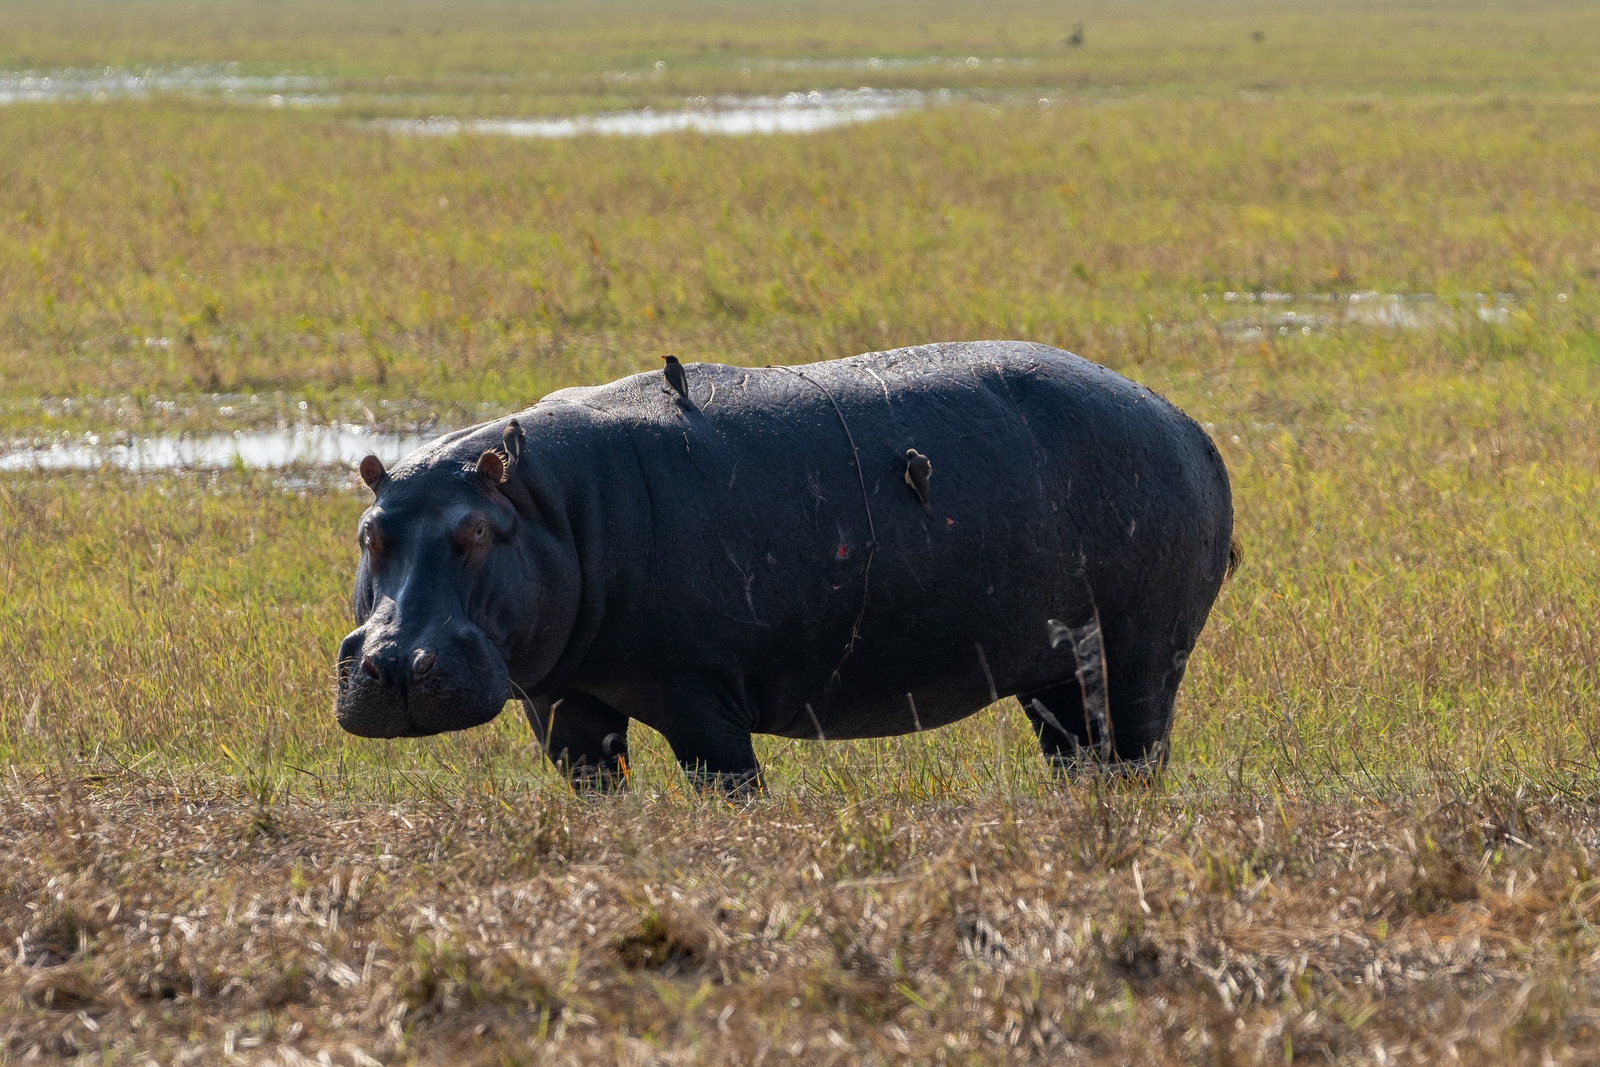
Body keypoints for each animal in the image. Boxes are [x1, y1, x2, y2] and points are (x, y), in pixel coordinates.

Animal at [334, 341, 1234, 790]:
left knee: (1139, 751)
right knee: (1078, 753)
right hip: (1053, 667)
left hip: (1145, 653)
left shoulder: (694, 688)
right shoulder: (558, 698)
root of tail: (1186, 423)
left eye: (477, 533)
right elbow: (593, 783)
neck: (548, 507)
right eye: (370, 532)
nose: (395, 665)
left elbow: (728, 783)